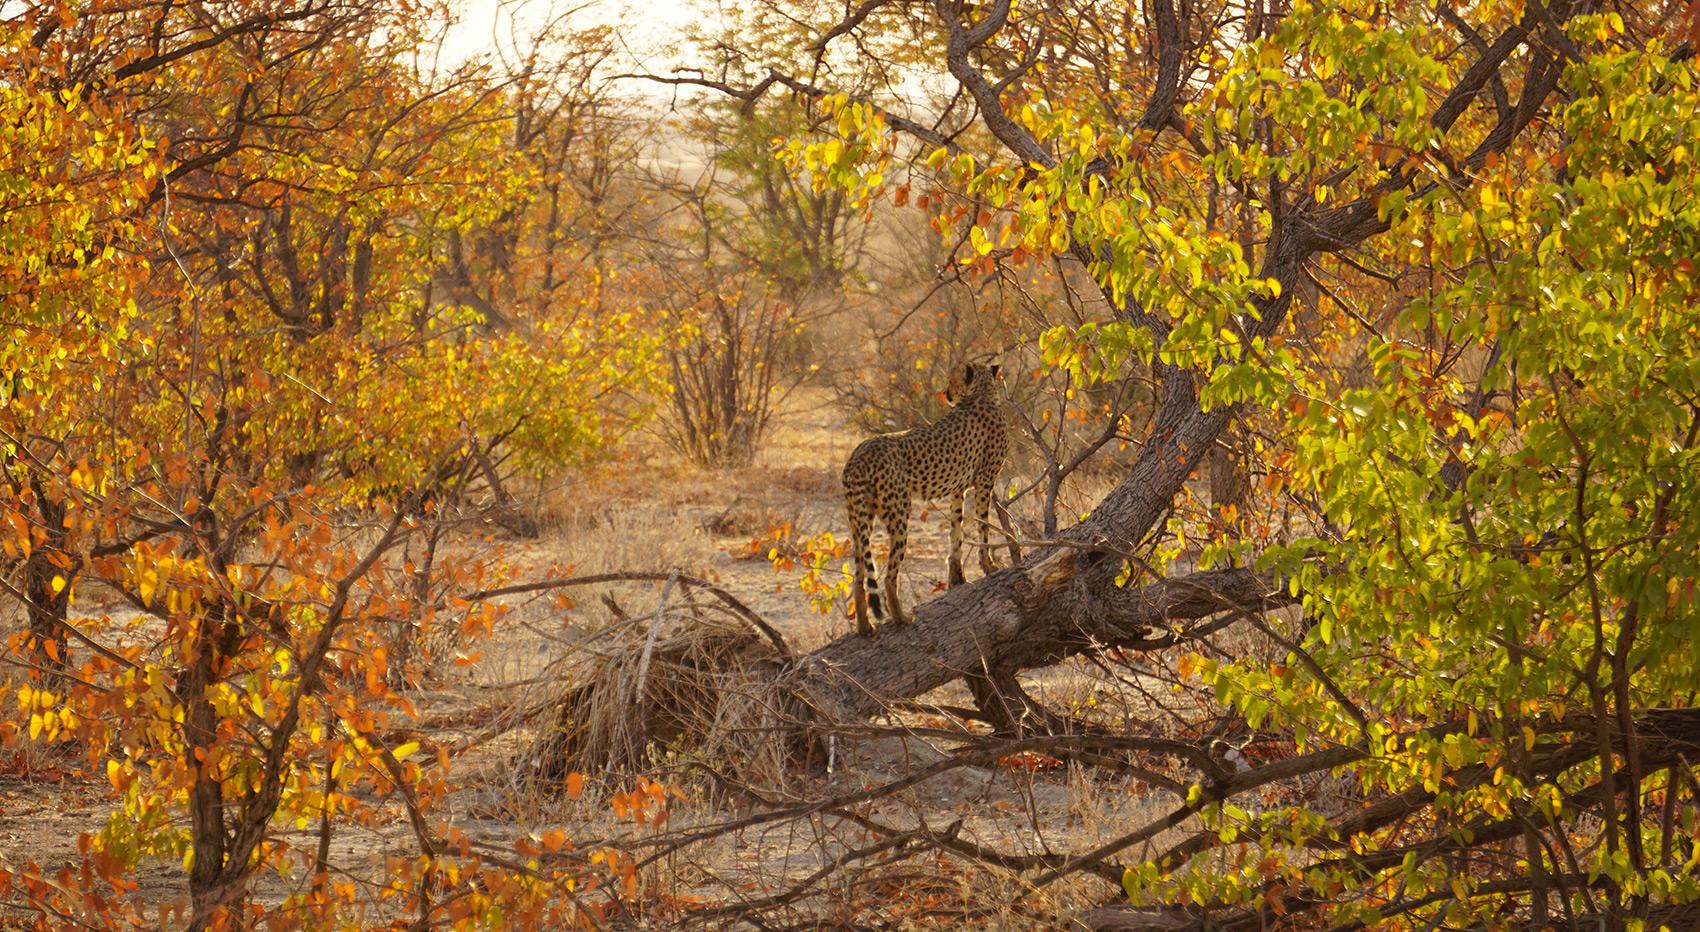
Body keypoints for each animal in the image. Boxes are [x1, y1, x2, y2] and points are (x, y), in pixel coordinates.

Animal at [842, 361, 1007, 635]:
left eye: (952, 381)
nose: (947, 394)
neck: (981, 393)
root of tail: (860, 452)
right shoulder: (985, 481)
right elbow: (983, 527)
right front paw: (989, 566)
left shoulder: (959, 489)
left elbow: (956, 533)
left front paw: (957, 578)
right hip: (899, 513)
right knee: (889, 576)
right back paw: (901, 618)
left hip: (859, 521)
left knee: (858, 576)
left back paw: (865, 627)